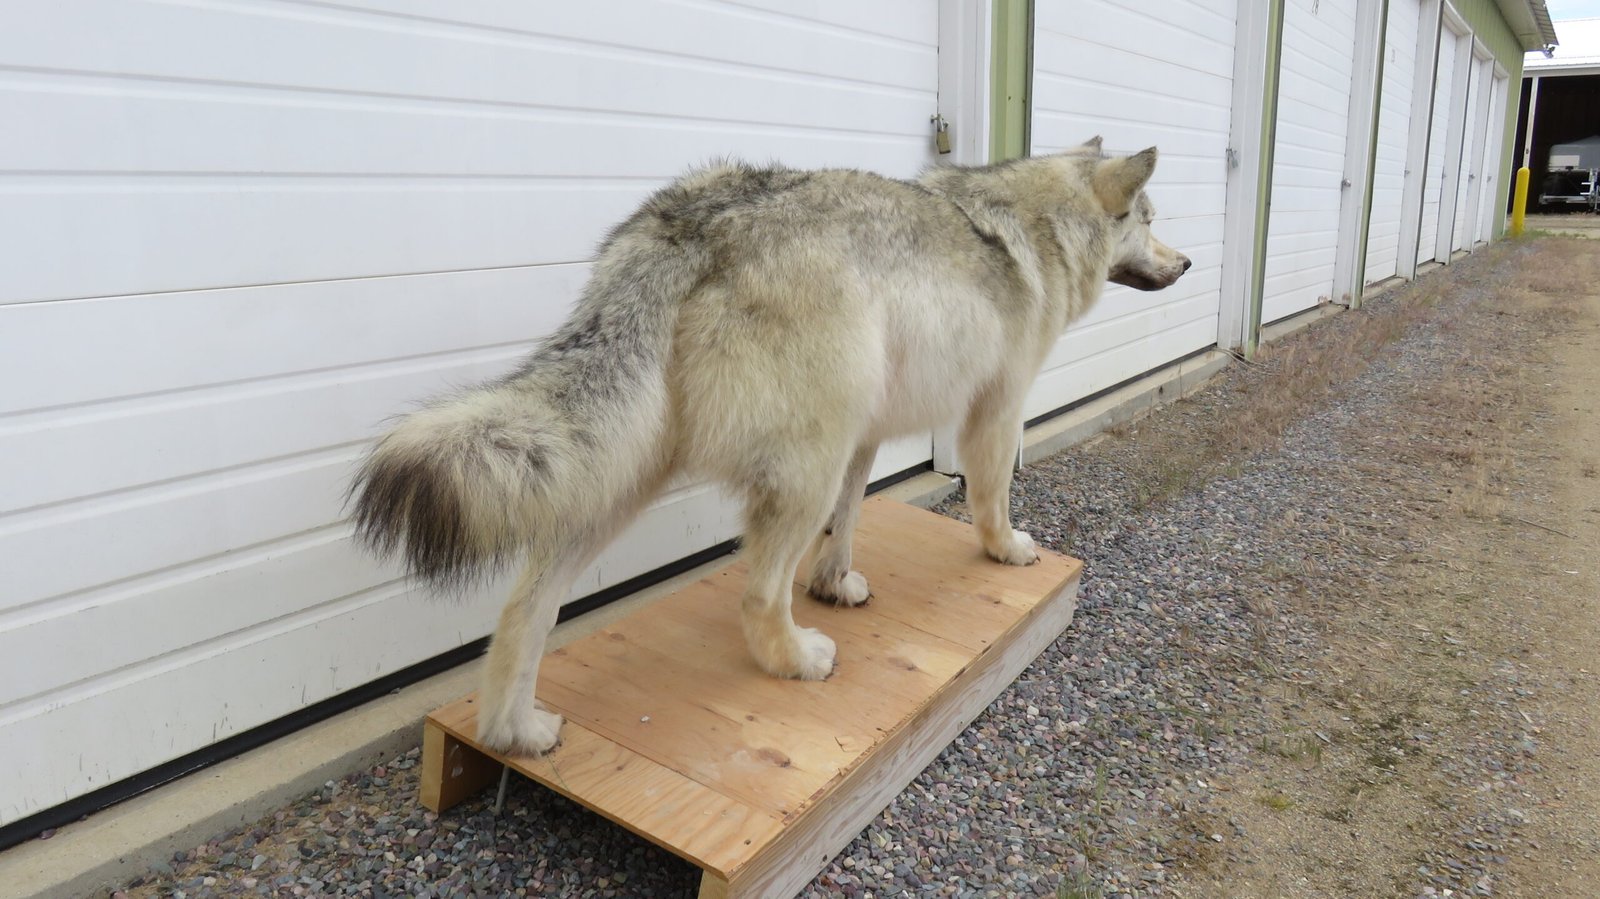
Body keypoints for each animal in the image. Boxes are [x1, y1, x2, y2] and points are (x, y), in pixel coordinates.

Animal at [350, 138, 1190, 756]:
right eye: (1149, 218)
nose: (1186, 264)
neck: (1043, 226)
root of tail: (688, 218)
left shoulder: (865, 441)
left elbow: (847, 525)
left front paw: (836, 583)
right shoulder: (996, 411)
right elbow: (991, 497)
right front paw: (1007, 550)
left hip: (627, 480)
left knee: (528, 608)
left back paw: (515, 731)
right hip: (796, 468)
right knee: (755, 596)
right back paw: (796, 658)